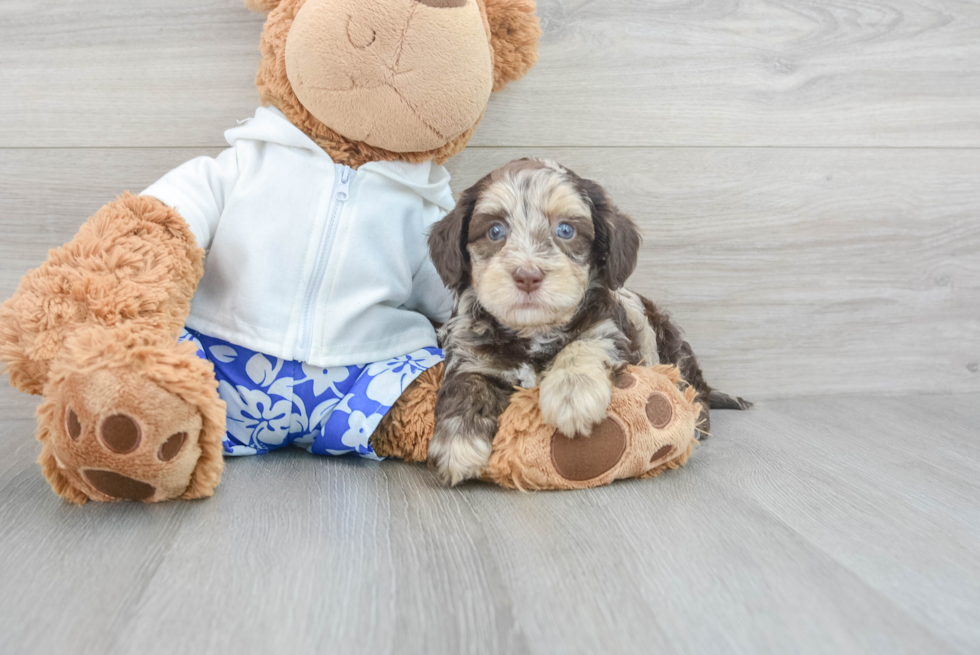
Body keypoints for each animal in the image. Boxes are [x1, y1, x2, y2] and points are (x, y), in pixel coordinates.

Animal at [424, 159, 748, 486]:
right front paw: (458, 444)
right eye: (494, 231)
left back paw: (699, 417)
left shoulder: (608, 330)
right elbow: (466, 385)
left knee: (693, 385)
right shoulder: (471, 355)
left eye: (565, 230)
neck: (535, 331)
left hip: (670, 344)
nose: (527, 276)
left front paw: (572, 395)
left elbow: (585, 345)